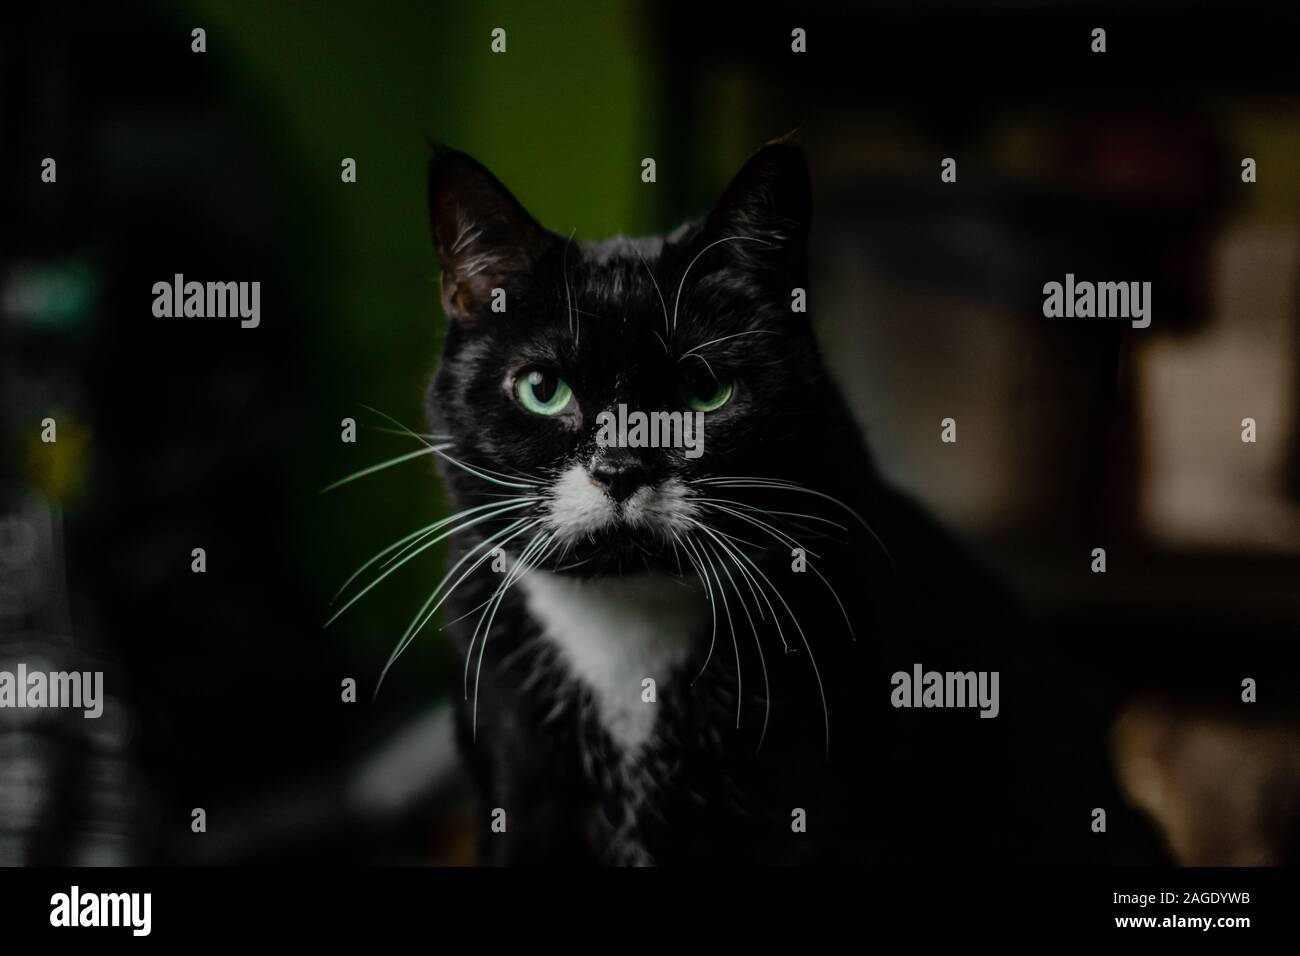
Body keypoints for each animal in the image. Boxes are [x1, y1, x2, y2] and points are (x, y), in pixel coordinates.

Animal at [416, 141, 1159, 868]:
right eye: (542, 389)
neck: (629, 627)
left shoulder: (811, 791)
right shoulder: (520, 785)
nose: (620, 468)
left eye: (704, 391)